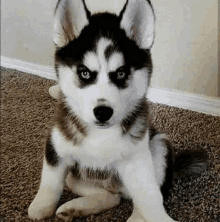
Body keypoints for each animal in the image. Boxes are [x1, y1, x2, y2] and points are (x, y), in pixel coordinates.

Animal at [28, 0, 207, 221]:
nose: (103, 112)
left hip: (159, 146)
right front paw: (41, 207)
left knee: (142, 199)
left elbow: (151, 199)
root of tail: (118, 188)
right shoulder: (57, 145)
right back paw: (75, 207)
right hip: (76, 176)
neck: (100, 135)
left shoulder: (137, 161)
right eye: (84, 73)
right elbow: (50, 181)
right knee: (110, 197)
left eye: (121, 73)